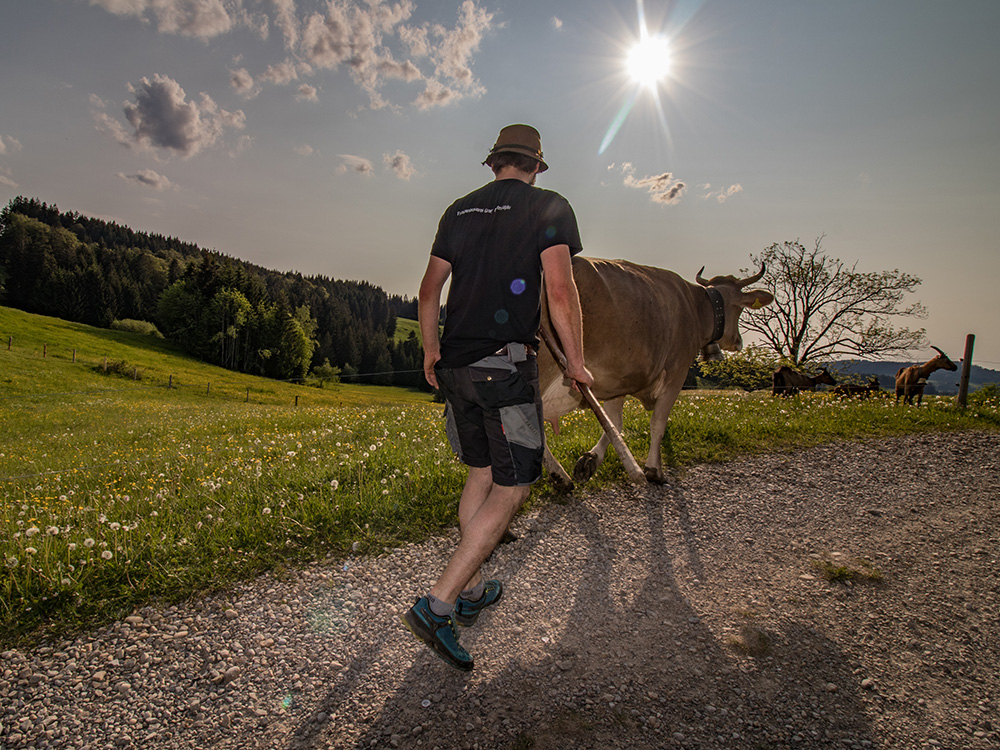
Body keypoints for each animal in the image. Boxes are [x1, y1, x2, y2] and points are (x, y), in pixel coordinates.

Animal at [540, 258, 772, 490]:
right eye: (740, 309)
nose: (738, 342)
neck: (696, 307)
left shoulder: (619, 379)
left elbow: (614, 422)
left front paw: (590, 460)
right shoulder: (677, 371)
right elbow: (658, 422)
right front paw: (654, 470)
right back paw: (560, 476)